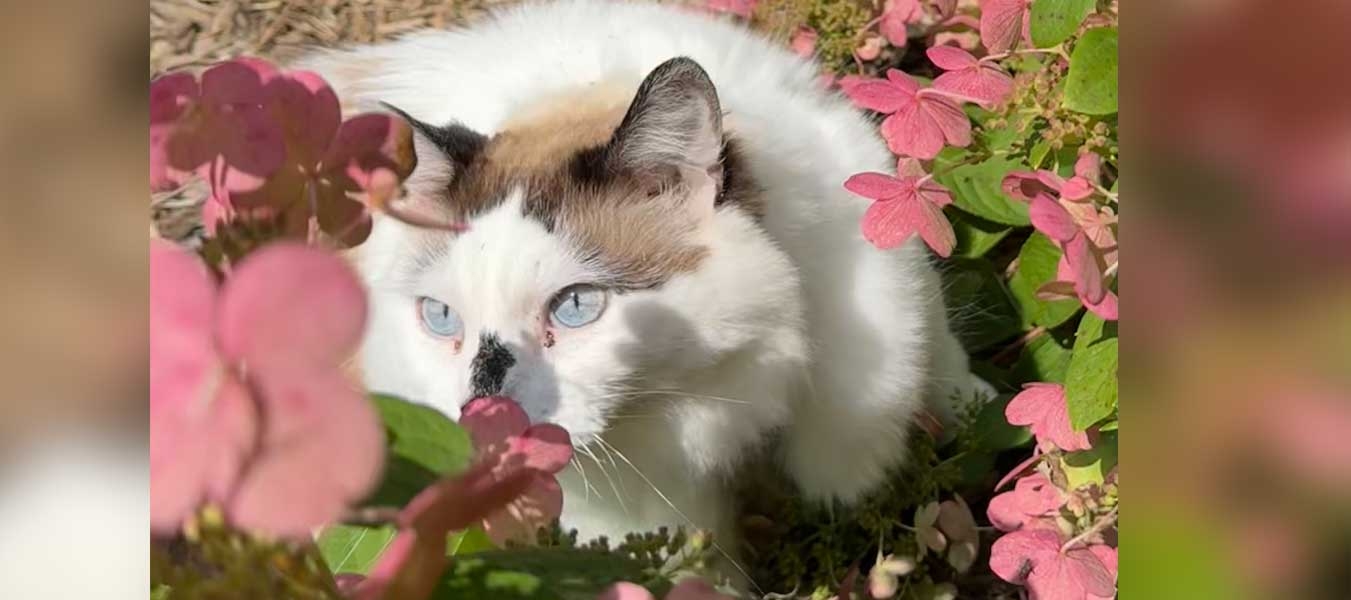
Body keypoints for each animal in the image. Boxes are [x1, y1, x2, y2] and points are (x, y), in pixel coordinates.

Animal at [301, 0, 988, 572]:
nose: (482, 423)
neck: (722, 390)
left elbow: (937, 370)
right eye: (441, 317)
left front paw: (976, 420)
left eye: (577, 305)